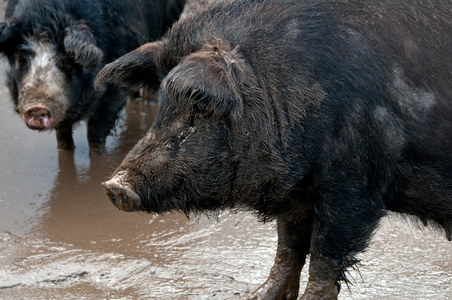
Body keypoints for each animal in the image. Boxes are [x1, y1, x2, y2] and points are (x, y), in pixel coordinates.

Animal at [0, 0, 185, 151]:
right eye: (23, 58)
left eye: (66, 59)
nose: (37, 107)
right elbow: (63, 138)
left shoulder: (112, 92)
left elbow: (95, 135)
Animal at [93, 0, 450, 298]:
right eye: (163, 103)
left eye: (199, 107)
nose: (114, 186)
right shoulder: (298, 191)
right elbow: (287, 248)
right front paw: (257, 297)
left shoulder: (354, 188)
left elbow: (325, 261)